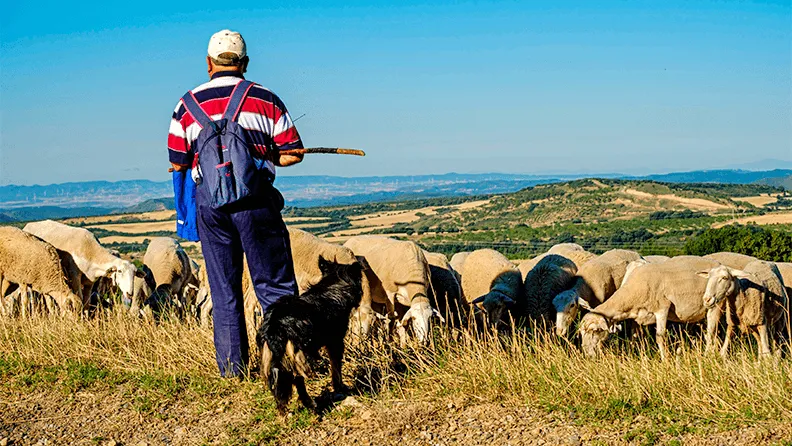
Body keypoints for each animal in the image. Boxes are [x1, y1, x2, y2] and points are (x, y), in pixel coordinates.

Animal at [255, 258, 364, 414]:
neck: (332, 284)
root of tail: (275, 325)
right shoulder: (336, 342)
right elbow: (336, 369)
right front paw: (340, 388)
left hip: (271, 358)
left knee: (279, 385)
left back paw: (283, 411)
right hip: (299, 355)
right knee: (298, 379)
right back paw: (310, 404)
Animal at [580, 254, 720, 358]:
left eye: (595, 330)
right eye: (581, 332)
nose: (588, 354)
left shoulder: (662, 309)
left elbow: (660, 338)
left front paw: (665, 360)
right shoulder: (636, 318)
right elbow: (635, 336)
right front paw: (635, 354)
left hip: (714, 304)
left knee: (712, 331)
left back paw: (709, 354)